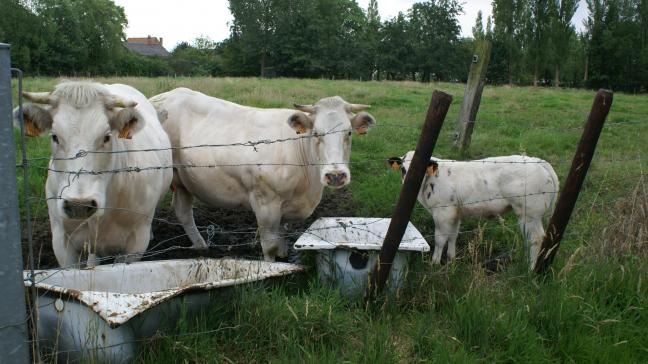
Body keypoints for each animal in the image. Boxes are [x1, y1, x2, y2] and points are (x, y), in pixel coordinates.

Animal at [150, 87, 378, 262]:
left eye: (349, 132)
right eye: (316, 133)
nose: (336, 175)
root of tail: (161, 96)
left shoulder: (289, 207)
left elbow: (283, 236)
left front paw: (285, 257)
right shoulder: (265, 203)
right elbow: (270, 246)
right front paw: (272, 267)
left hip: (183, 180)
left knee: (182, 211)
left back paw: (200, 245)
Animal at [388, 151, 560, 268]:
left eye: (422, 169)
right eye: (403, 169)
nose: (408, 183)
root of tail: (538, 161)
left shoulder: (443, 212)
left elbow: (440, 239)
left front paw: (434, 264)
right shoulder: (455, 213)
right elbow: (453, 236)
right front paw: (451, 261)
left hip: (529, 214)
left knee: (536, 239)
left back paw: (531, 269)